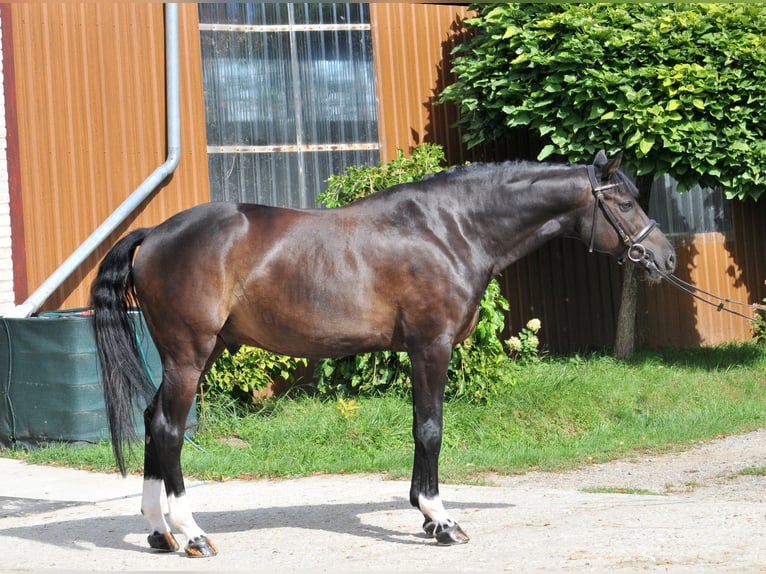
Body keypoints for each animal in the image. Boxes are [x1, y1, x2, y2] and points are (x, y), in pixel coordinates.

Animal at [91, 150, 675, 557]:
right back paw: (191, 534)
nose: (665, 258)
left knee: (151, 420)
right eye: (625, 202)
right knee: (168, 429)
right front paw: (443, 520)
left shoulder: (421, 350)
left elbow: (420, 427)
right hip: (189, 356)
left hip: (199, 354)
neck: (451, 230)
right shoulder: (431, 347)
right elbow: (431, 428)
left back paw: (159, 533)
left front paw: (426, 516)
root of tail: (156, 232)